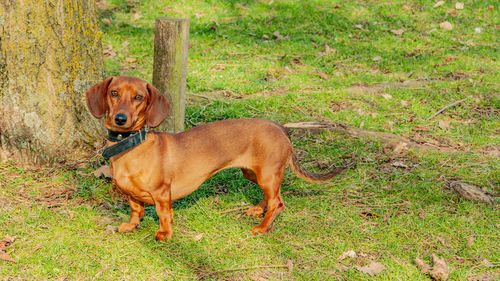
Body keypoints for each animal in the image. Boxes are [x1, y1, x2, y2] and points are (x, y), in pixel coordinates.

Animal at [86, 75, 346, 240]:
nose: (120, 119)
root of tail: (280, 127)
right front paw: (131, 225)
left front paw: (165, 234)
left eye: (138, 97)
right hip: (255, 174)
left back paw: (262, 228)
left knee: (278, 203)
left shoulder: (162, 193)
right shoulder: (131, 194)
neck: (131, 146)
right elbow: (135, 209)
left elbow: (164, 214)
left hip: (267, 175)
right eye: (114, 93)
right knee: (273, 196)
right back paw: (258, 210)